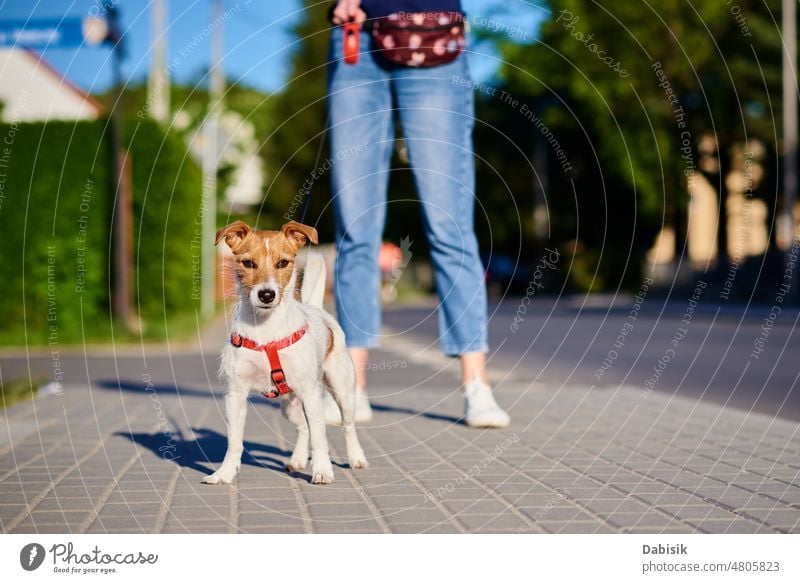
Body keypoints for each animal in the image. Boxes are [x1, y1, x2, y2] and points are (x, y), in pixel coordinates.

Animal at [205, 219, 370, 484]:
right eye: (248, 263)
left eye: (283, 263)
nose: (266, 294)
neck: (266, 331)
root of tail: (315, 308)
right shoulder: (235, 395)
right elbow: (234, 441)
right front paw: (225, 473)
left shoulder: (312, 394)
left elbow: (320, 438)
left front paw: (322, 471)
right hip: (289, 406)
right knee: (303, 426)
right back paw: (298, 459)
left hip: (341, 390)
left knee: (347, 425)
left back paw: (356, 457)